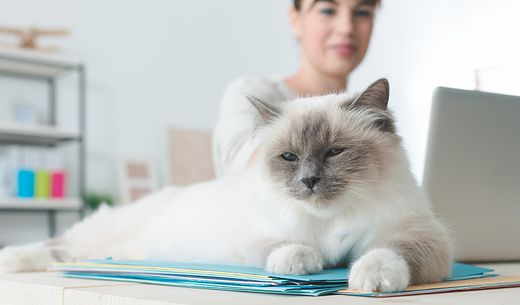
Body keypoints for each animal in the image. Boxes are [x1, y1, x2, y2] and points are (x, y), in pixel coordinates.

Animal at [0, 78, 450, 292]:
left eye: (335, 152)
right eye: (289, 158)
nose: (308, 181)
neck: (330, 219)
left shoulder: (418, 236)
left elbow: (385, 254)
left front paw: (368, 278)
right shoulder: (258, 235)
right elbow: (288, 250)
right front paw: (306, 263)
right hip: (101, 238)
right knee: (56, 245)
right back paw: (11, 258)